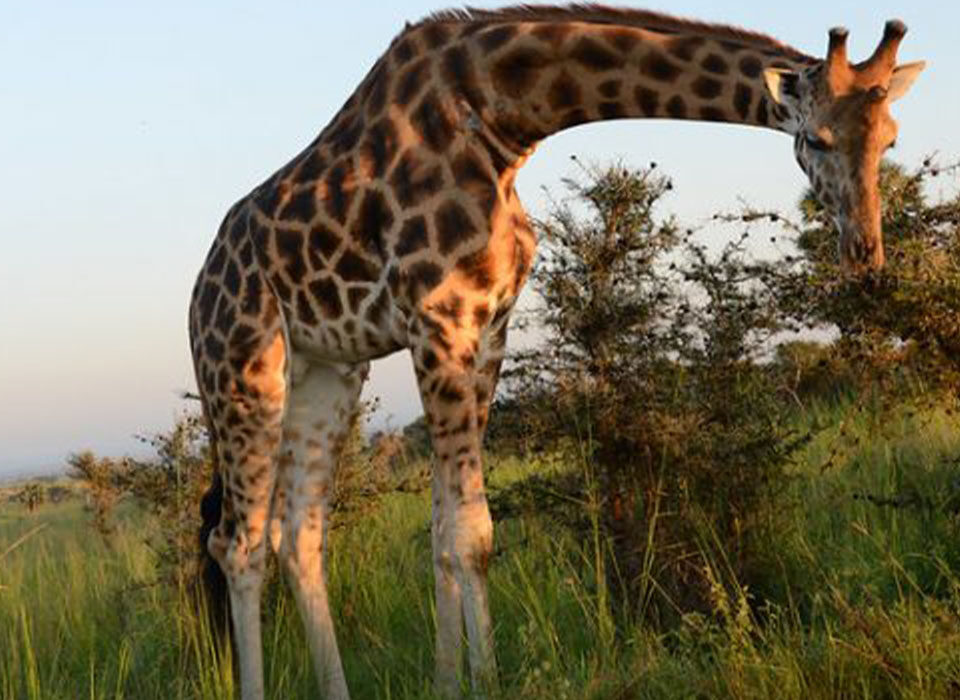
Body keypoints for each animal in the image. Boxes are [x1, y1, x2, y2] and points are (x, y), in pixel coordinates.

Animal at [188, 5, 924, 698]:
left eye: (890, 139)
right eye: (816, 138)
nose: (865, 255)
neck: (503, 120)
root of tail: (199, 293)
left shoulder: (488, 329)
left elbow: (450, 533)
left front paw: (451, 683)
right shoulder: (437, 321)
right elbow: (469, 533)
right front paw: (481, 683)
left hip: (327, 373)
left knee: (298, 536)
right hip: (245, 368)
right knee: (237, 543)